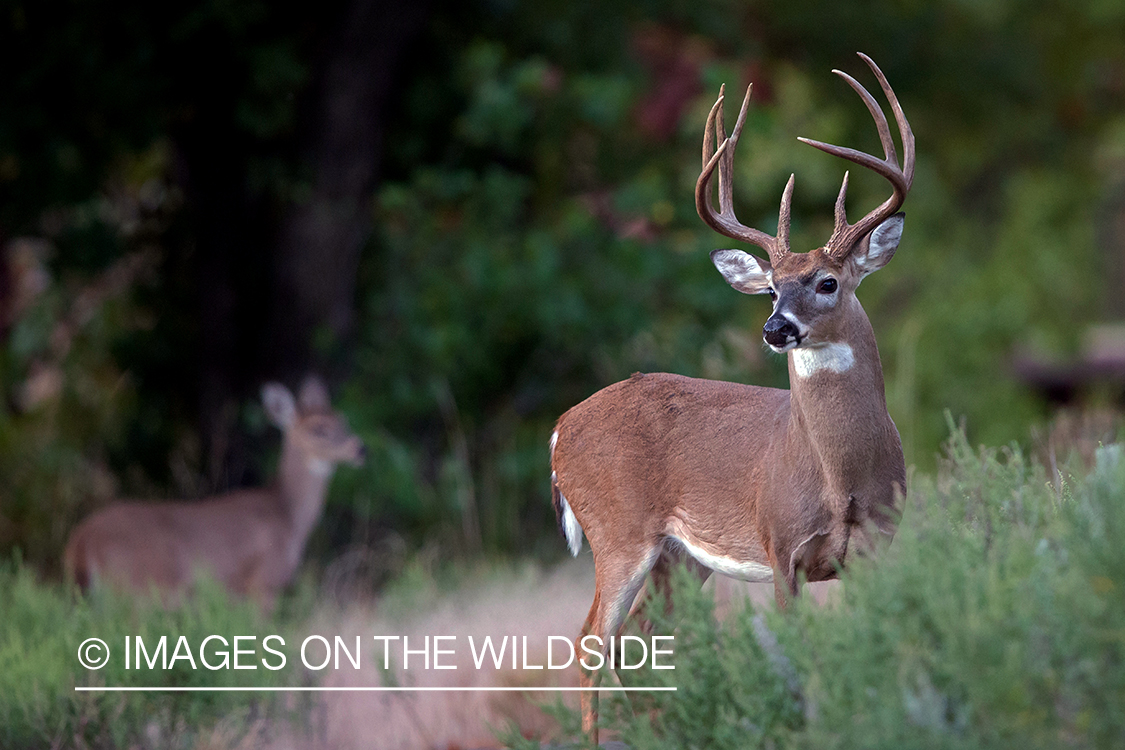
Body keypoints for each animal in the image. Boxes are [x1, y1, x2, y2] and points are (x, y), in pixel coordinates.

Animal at [62, 375, 364, 611]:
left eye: (344, 420)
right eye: (319, 430)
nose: (360, 448)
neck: (288, 515)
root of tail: (81, 538)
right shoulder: (264, 581)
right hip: (140, 587)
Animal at [546, 52, 913, 737]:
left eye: (826, 282)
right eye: (770, 289)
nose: (775, 329)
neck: (840, 478)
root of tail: (558, 429)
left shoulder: (877, 545)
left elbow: (879, 636)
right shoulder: (781, 547)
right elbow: (797, 654)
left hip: (677, 557)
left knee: (640, 641)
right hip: (618, 533)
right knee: (590, 644)